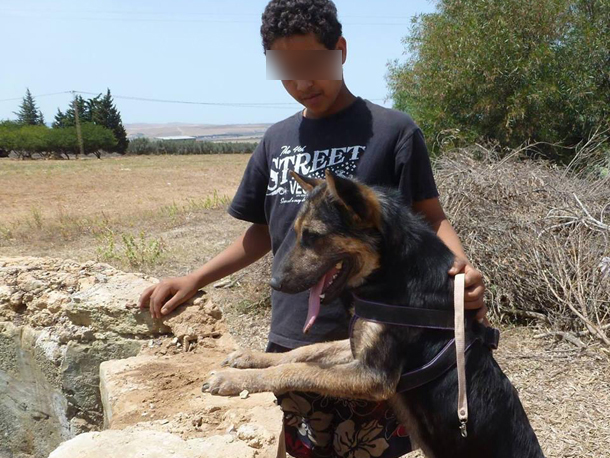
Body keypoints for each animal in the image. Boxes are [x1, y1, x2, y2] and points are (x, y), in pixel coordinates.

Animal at [203, 170, 540, 456]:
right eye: (298, 233)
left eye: (312, 236)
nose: (275, 284)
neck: (394, 270)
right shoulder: (356, 348)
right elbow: (303, 352)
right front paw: (249, 358)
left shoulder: (372, 376)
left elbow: (296, 370)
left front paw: (232, 380)